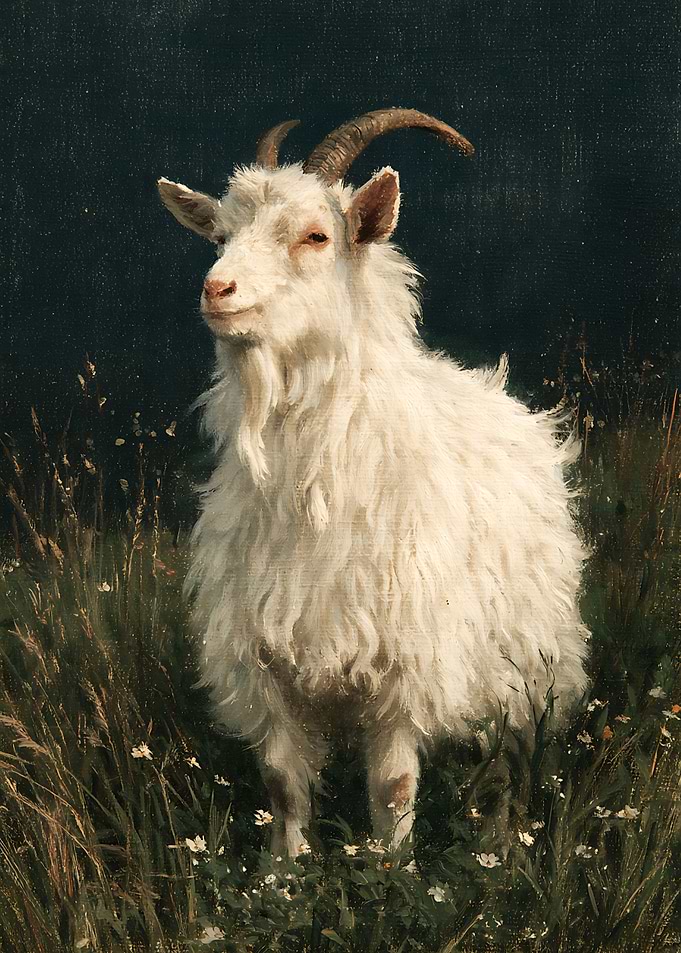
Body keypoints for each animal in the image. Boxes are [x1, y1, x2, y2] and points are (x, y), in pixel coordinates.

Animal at [157, 108, 590, 859]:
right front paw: (284, 874)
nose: (217, 291)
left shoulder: (405, 669)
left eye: (315, 235)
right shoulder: (265, 668)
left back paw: (499, 851)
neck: (315, 493)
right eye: (219, 235)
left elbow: (391, 789)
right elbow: (282, 785)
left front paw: (391, 875)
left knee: (511, 762)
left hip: (529, 666)